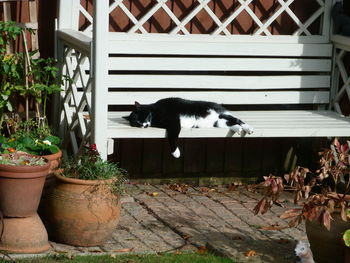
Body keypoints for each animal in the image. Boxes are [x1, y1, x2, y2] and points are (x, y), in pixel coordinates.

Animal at [123, 97, 254, 158]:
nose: (143, 125)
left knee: (237, 120)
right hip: (218, 122)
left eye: (142, 118)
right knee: (231, 123)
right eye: (137, 123)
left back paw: (248, 129)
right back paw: (238, 130)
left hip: (219, 114)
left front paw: (175, 152)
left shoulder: (174, 121)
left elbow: (173, 135)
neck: (154, 114)